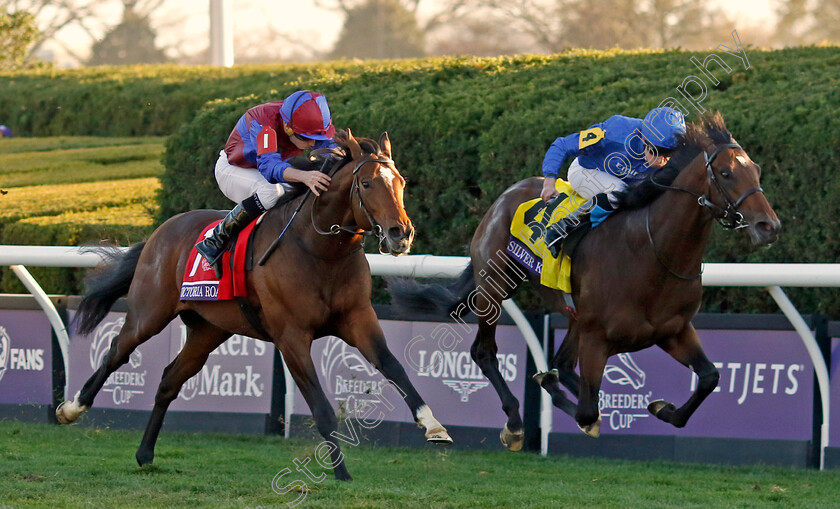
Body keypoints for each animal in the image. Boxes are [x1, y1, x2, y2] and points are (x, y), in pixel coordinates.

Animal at [56, 129, 452, 478]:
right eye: (367, 184)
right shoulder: (291, 337)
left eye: (400, 183)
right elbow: (321, 408)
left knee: (170, 379)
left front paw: (433, 425)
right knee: (116, 352)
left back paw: (145, 453)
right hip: (149, 313)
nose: (401, 234)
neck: (320, 251)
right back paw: (71, 409)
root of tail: (160, 232)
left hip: (209, 329)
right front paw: (341, 474)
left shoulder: (358, 318)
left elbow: (393, 366)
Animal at [388, 111, 780, 448]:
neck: (654, 252)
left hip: (570, 311)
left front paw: (661, 408)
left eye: (757, 170)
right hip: (496, 286)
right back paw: (515, 423)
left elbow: (710, 377)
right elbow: (588, 412)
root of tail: (504, 197)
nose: (769, 226)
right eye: (726, 173)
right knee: (485, 352)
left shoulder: (673, 330)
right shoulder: (597, 337)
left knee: (561, 365)